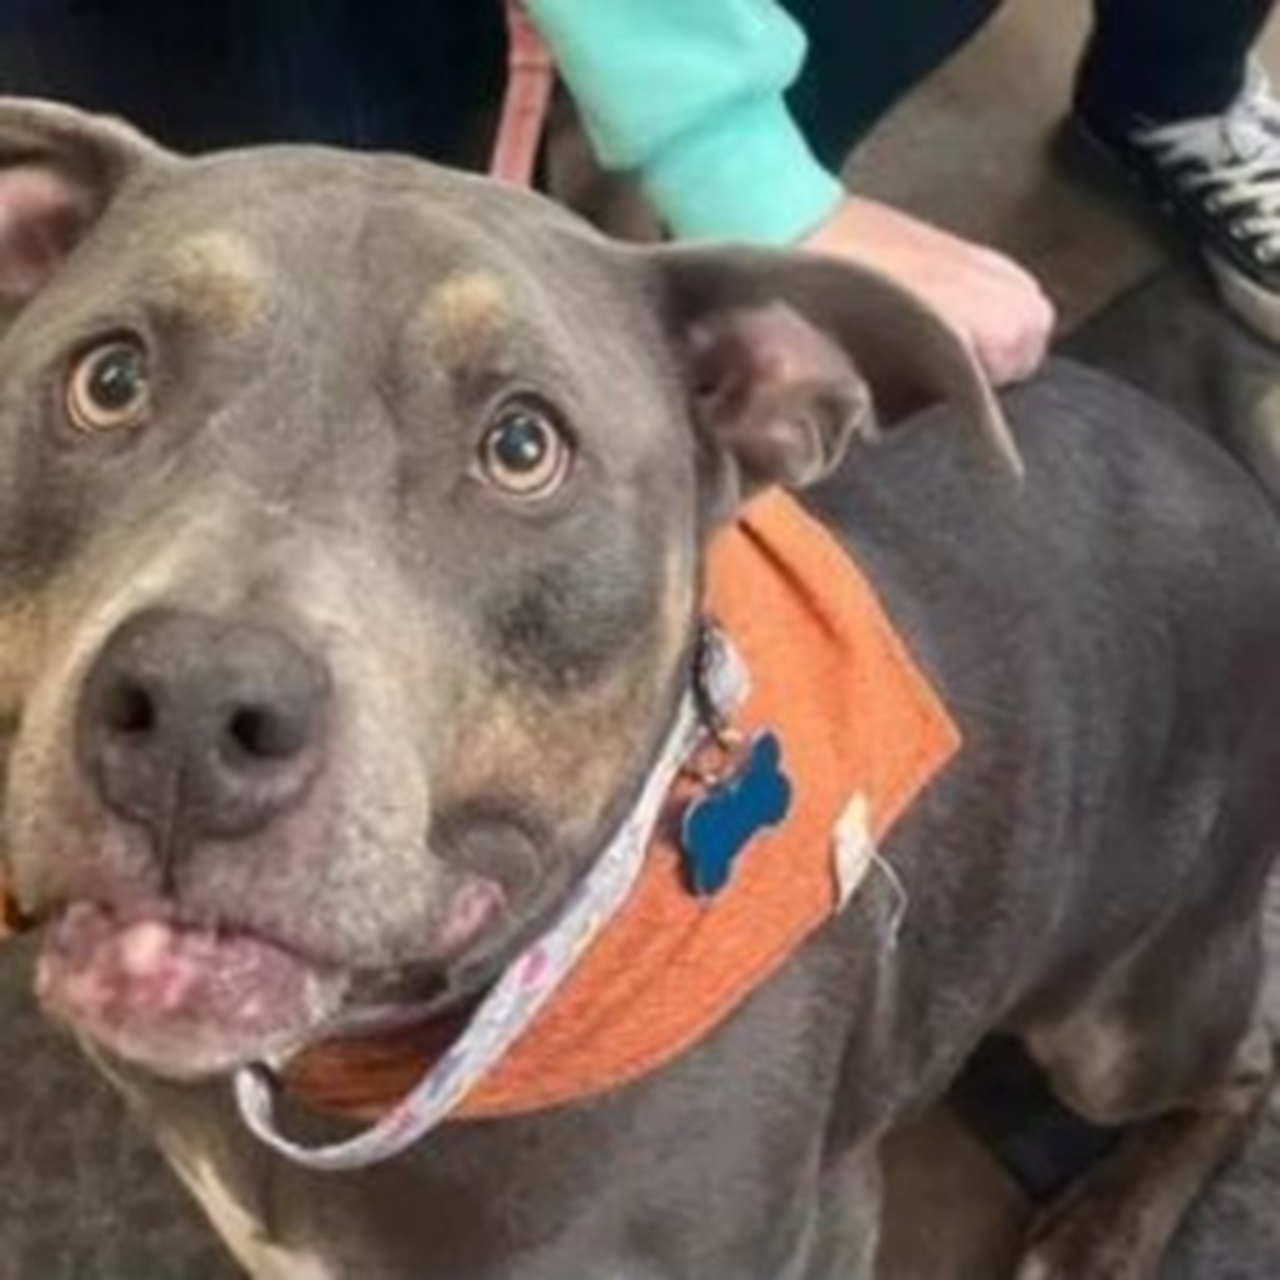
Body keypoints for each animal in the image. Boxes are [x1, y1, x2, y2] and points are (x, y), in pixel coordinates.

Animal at [2, 99, 1280, 1280]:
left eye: (523, 447)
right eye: (109, 377)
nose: (193, 704)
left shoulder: (828, 1225)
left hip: (1117, 1030)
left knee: (1243, 1064)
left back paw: (1109, 1222)